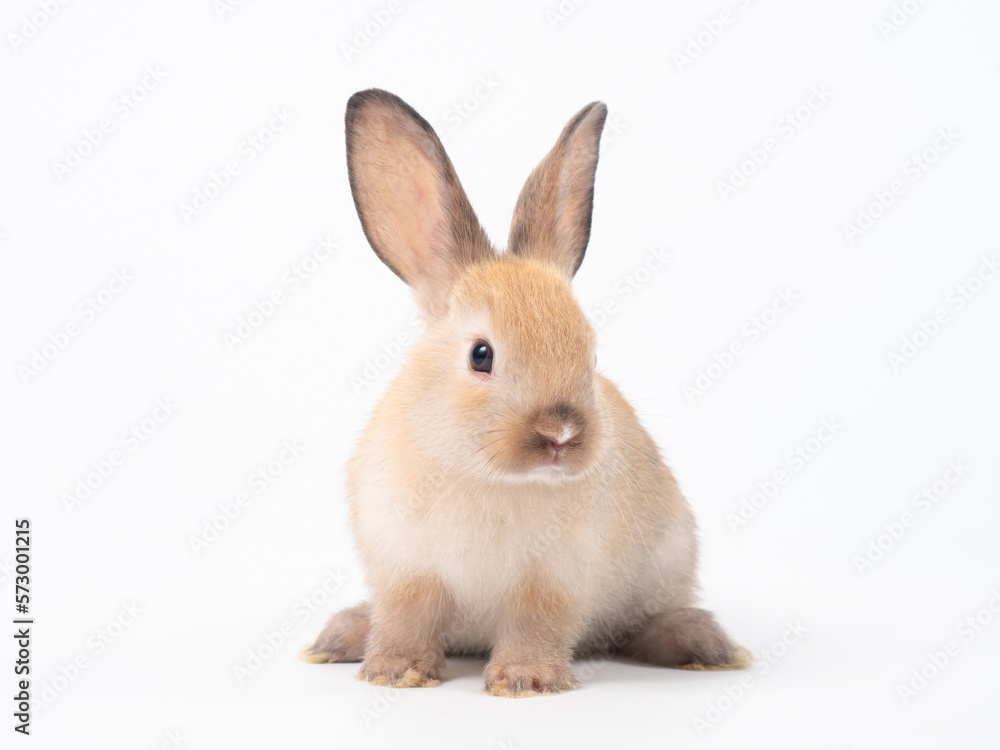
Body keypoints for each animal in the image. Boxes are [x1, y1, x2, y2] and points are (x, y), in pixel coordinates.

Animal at [302, 89, 752, 700]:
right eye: (480, 355)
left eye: (590, 352)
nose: (560, 434)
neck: (484, 473)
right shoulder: (406, 572)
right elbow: (405, 620)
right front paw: (394, 672)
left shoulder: (552, 583)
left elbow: (535, 627)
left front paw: (524, 681)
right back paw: (341, 637)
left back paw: (701, 645)